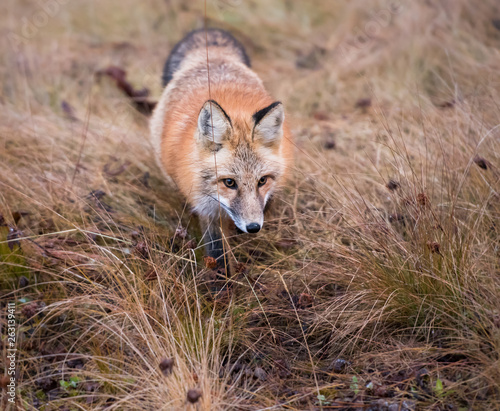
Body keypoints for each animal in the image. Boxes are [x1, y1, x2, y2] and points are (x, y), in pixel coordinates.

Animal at [150, 29, 294, 272]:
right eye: (229, 182)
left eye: (262, 180)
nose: (253, 227)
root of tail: (213, 52)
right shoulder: (206, 208)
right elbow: (217, 252)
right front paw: (222, 280)